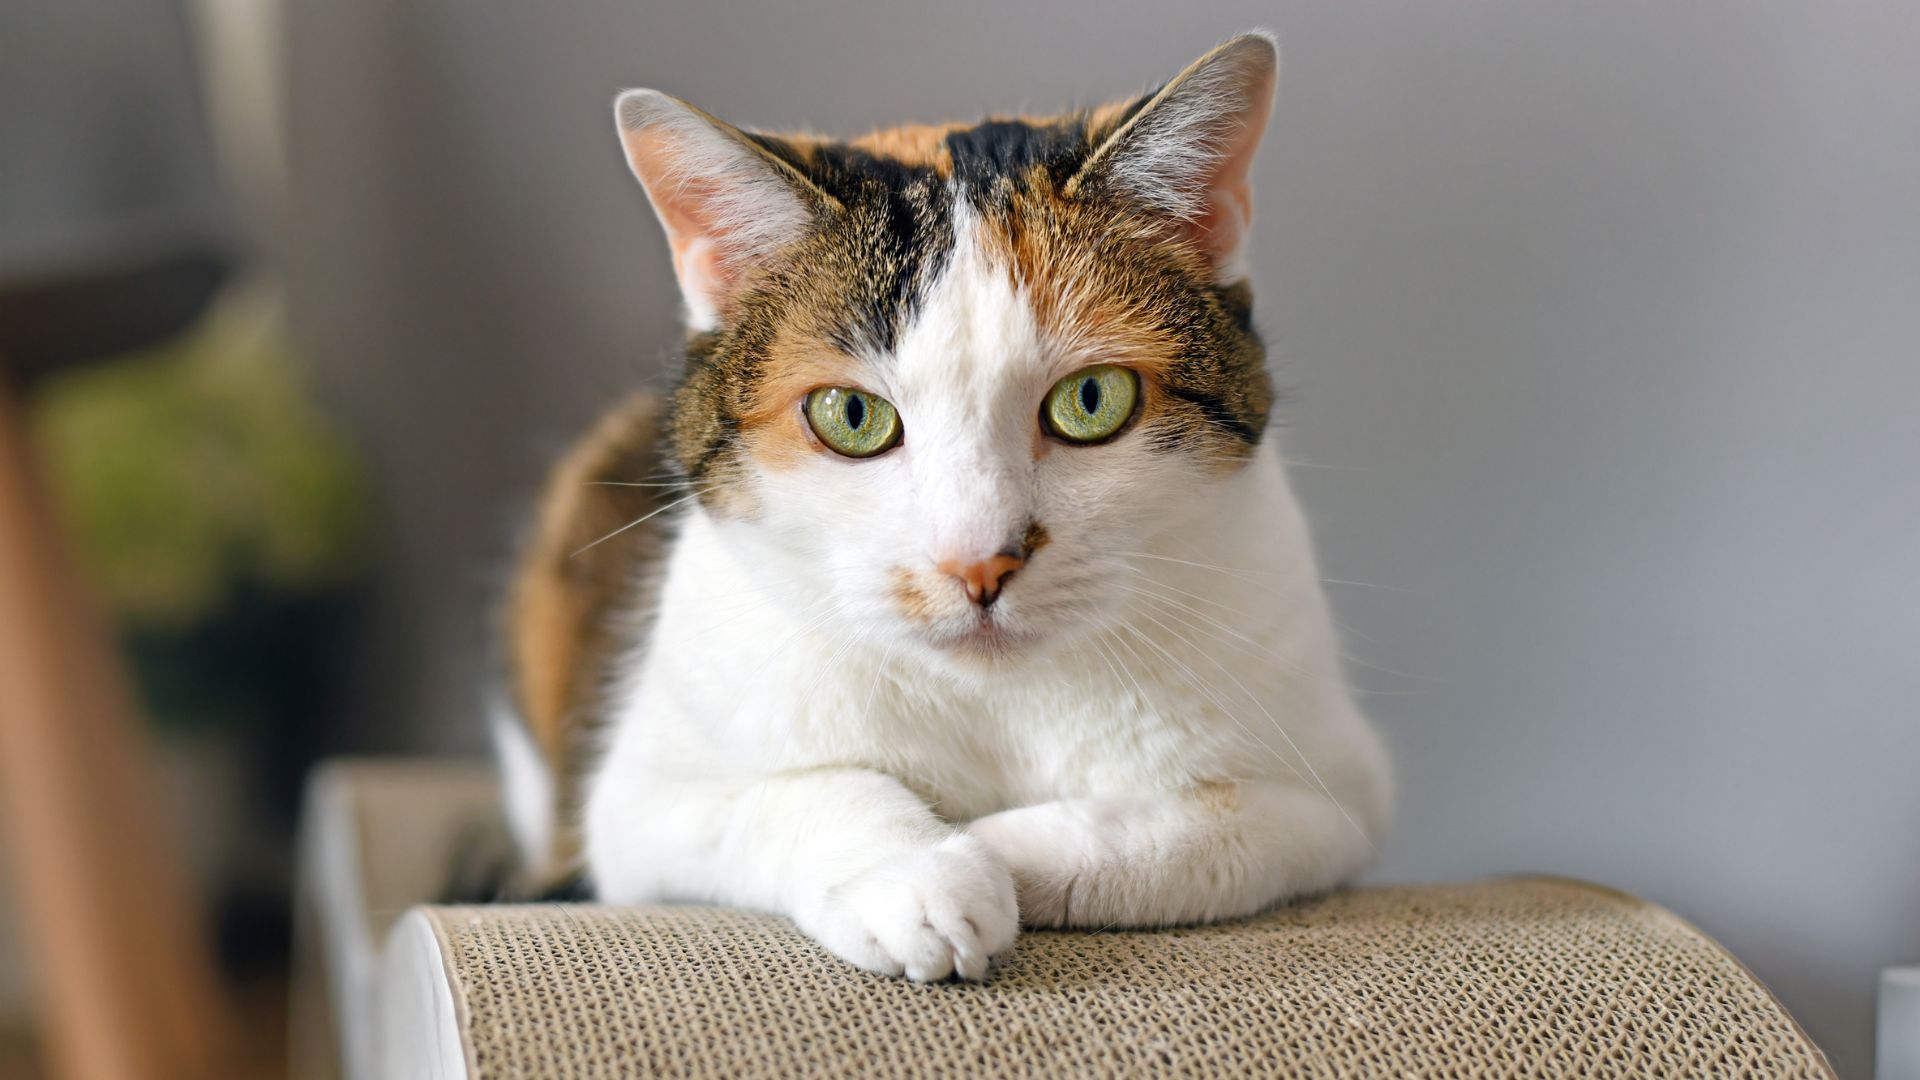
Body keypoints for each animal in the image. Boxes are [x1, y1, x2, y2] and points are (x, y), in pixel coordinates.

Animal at [495, 31, 1397, 976]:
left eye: (1092, 400)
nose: (979, 562)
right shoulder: (638, 808)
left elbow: (1185, 825)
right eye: (852, 416)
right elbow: (802, 792)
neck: (991, 704)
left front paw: (990, 850)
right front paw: (919, 872)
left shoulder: (1336, 798)